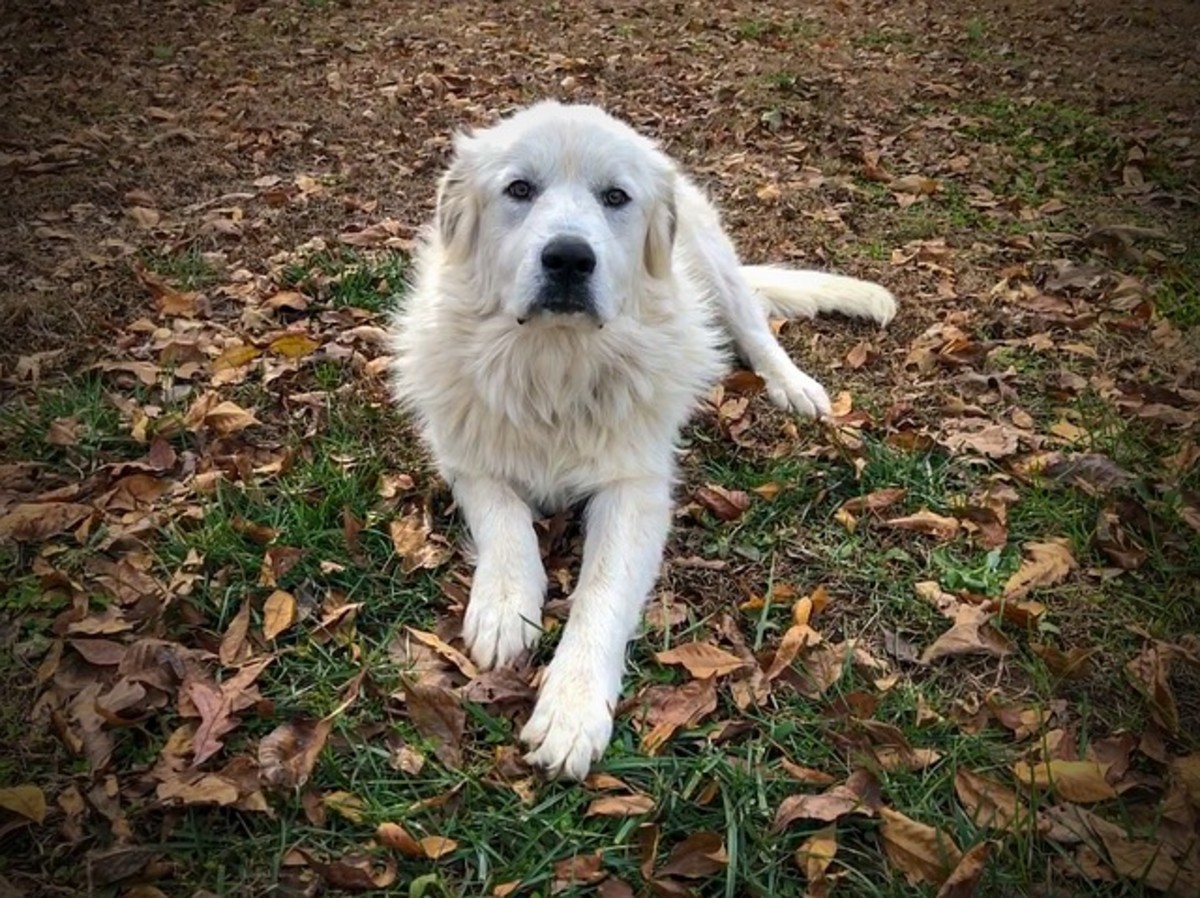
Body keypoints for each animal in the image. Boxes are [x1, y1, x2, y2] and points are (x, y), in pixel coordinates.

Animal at [388, 100, 897, 777]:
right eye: (519, 189)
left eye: (615, 197)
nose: (568, 259)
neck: (554, 364)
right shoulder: (466, 454)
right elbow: (504, 518)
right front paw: (503, 604)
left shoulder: (634, 489)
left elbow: (601, 594)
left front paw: (572, 709)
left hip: (715, 267)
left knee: (756, 332)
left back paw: (793, 386)